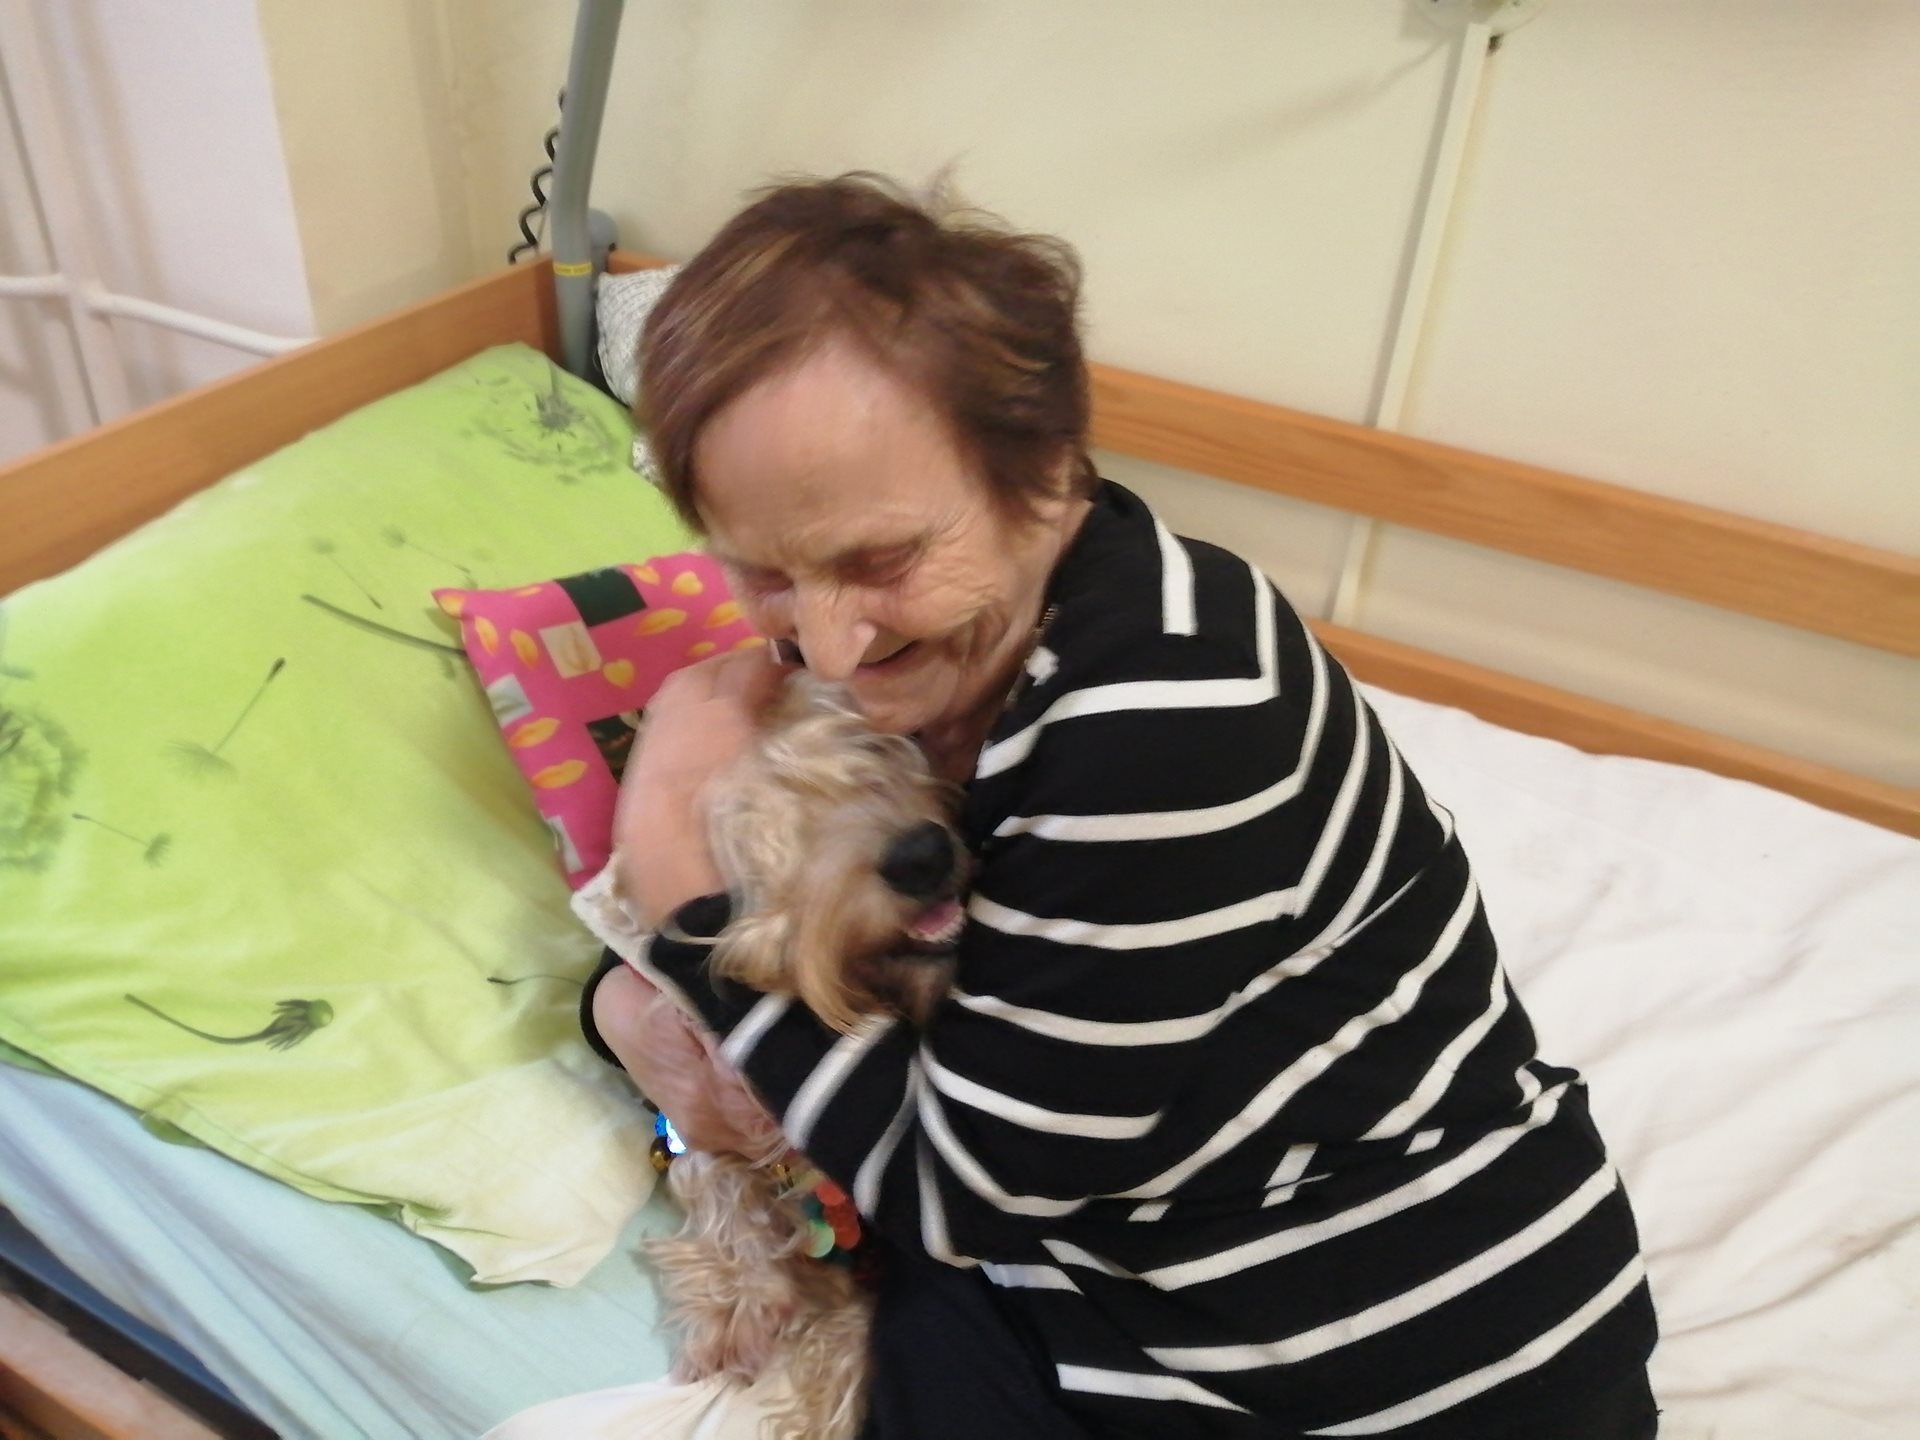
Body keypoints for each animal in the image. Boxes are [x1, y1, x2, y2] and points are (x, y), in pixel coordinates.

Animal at [638, 670, 968, 1440]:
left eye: (872, 757)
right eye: (764, 832)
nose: (923, 853)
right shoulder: (698, 1115)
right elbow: (713, 1179)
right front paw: (738, 1302)